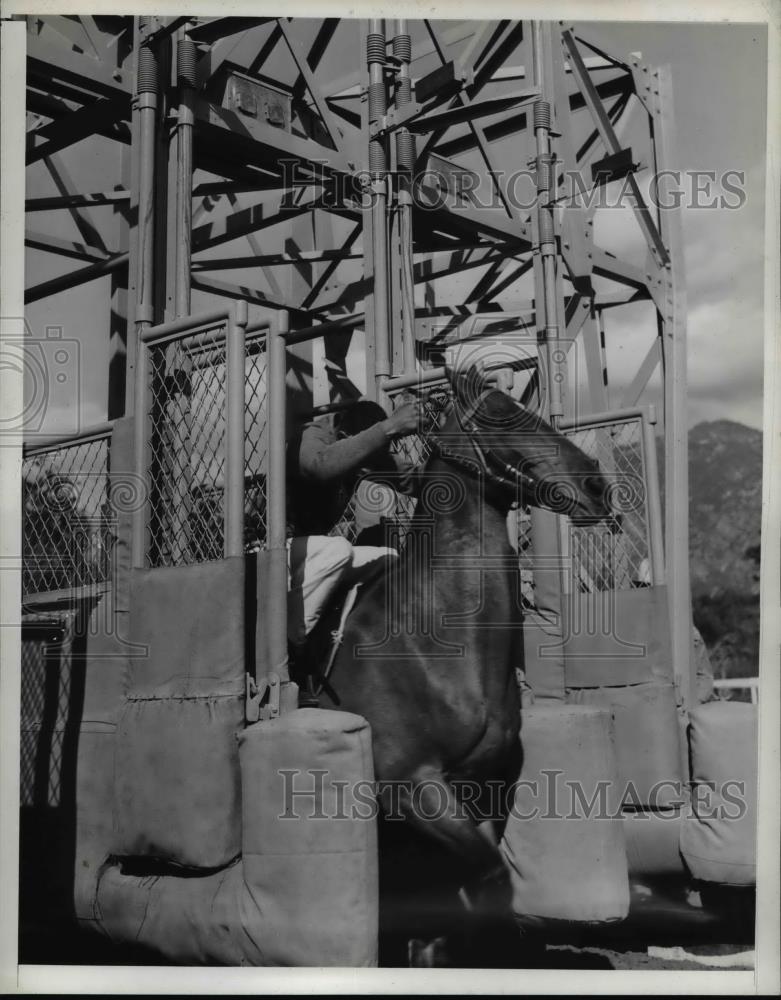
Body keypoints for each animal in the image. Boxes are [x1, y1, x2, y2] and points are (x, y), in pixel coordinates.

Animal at [312, 366, 616, 960]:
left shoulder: (482, 789)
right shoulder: (412, 786)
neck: (434, 648)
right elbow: (487, 879)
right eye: (499, 414)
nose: (596, 485)